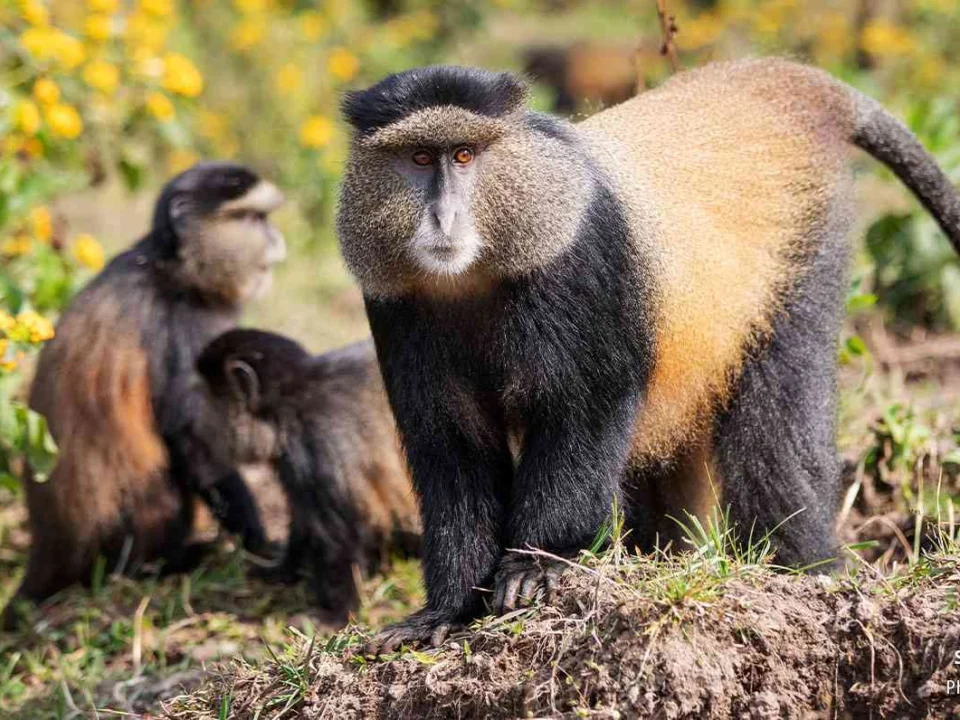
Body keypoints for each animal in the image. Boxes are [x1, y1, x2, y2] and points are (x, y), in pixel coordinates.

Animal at [2, 162, 286, 628]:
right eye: (253, 218)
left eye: (265, 218)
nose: (277, 240)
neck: (170, 268)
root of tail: (47, 556)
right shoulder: (184, 327)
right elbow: (195, 442)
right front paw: (261, 547)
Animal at [190, 329, 419, 625]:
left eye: (208, 398)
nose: (196, 421)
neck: (288, 405)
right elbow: (303, 518)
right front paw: (282, 570)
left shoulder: (315, 439)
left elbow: (336, 533)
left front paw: (334, 613)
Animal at [335, 59, 960, 651]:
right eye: (419, 157)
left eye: (464, 155)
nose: (443, 218)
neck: (476, 274)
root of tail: (779, 84)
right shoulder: (396, 306)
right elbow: (451, 444)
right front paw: (445, 611)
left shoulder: (580, 263)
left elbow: (584, 411)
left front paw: (540, 565)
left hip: (804, 257)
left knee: (777, 439)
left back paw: (804, 570)